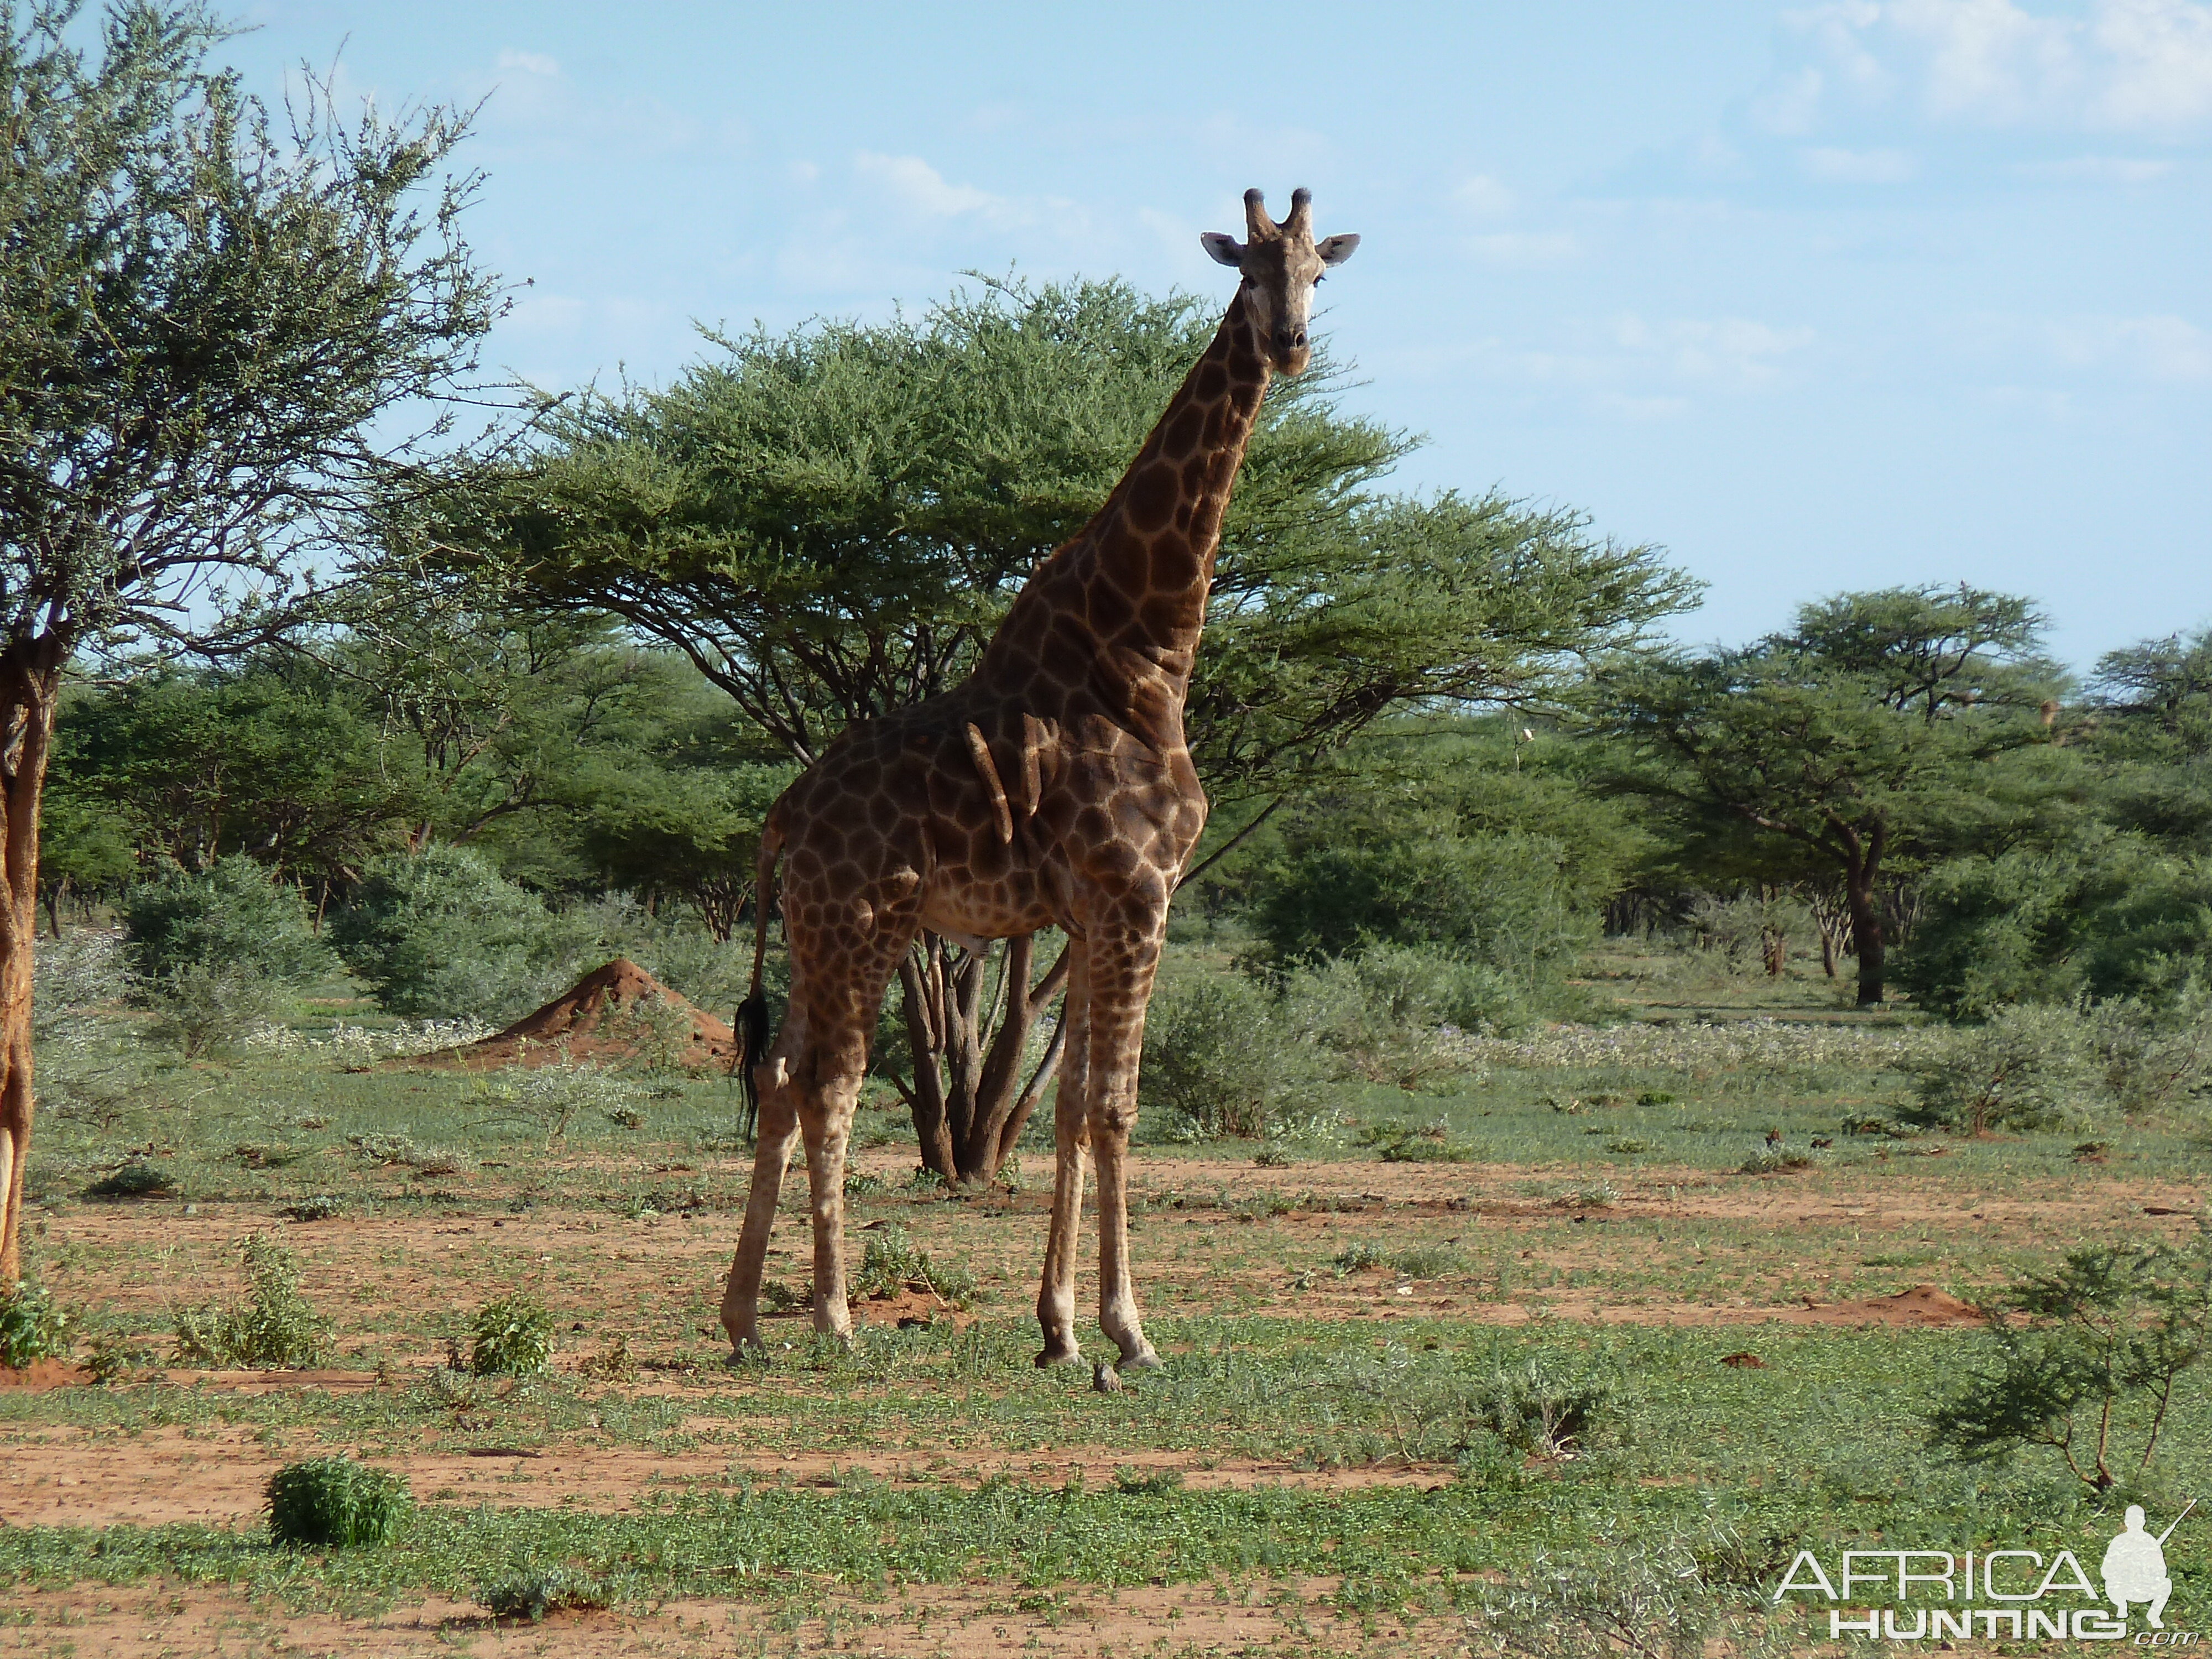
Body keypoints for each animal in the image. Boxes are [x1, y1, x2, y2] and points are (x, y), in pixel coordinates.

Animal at [717, 188, 1354, 1371]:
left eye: (1319, 275)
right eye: (1246, 270)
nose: (1291, 345)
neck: (1144, 654)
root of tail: (783, 816)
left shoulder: (1098, 909)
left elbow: (1066, 1108)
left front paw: (1059, 1329)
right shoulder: (1139, 894)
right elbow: (1115, 1107)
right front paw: (1129, 1332)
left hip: (817, 932)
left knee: (779, 1083)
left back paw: (742, 1321)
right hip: (863, 923)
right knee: (831, 1088)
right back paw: (831, 1318)